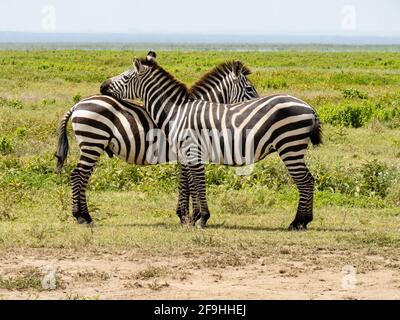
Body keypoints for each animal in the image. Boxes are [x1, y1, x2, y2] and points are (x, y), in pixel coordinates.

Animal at [54, 60, 258, 225]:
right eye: (250, 89)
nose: (258, 105)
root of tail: (77, 104)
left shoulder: (184, 154)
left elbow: (185, 182)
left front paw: (185, 215)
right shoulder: (189, 151)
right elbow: (189, 183)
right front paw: (189, 217)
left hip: (92, 145)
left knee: (82, 176)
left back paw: (85, 216)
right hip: (93, 141)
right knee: (78, 175)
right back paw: (81, 217)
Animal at [99, 50, 322, 230]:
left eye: (126, 77)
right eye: (250, 89)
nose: (102, 86)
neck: (176, 112)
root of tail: (308, 107)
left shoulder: (191, 150)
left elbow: (196, 183)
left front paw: (199, 218)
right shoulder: (187, 154)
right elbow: (191, 183)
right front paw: (191, 217)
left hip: (290, 146)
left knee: (305, 181)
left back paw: (298, 222)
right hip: (292, 147)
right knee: (308, 180)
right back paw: (302, 221)